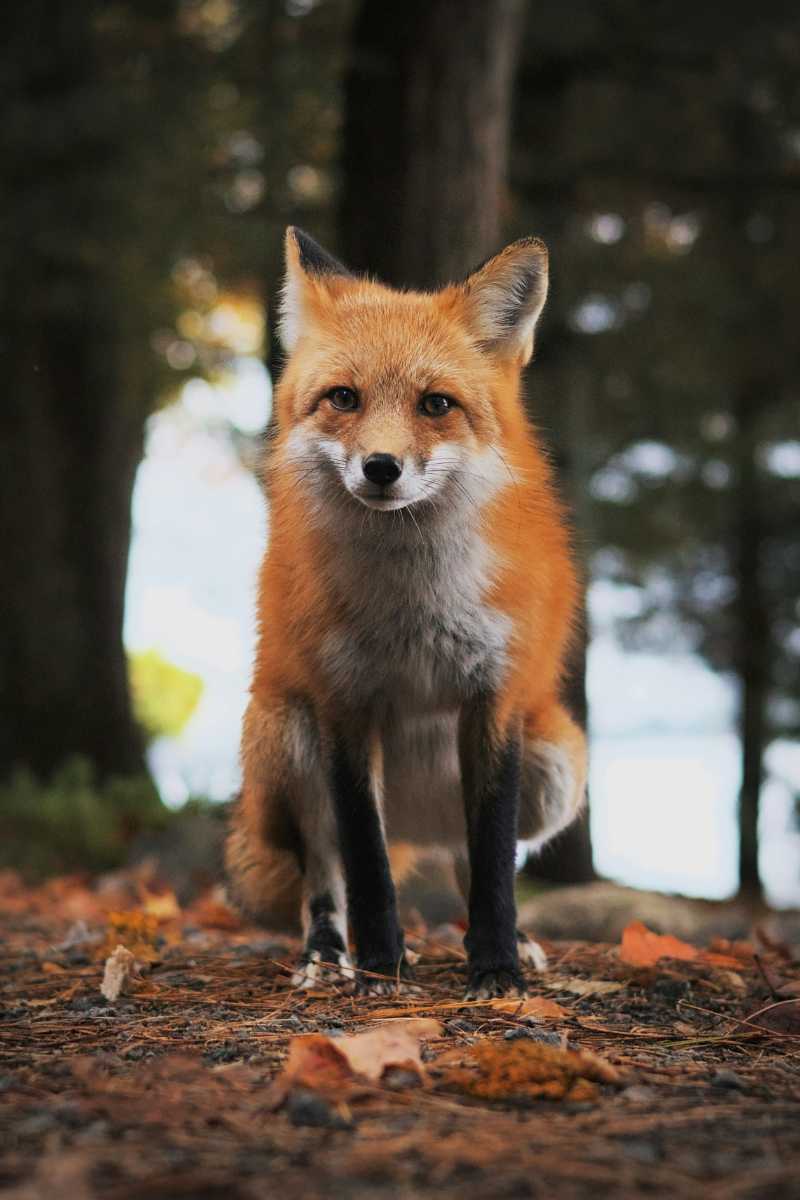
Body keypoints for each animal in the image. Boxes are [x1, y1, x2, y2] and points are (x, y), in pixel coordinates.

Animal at [225, 229, 587, 998]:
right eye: (343, 398)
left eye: (436, 404)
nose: (381, 467)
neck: (413, 608)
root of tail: (419, 822)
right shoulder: (343, 704)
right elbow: (365, 861)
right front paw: (380, 966)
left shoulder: (495, 698)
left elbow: (492, 860)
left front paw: (497, 967)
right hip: (286, 736)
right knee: (326, 868)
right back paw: (326, 952)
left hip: (556, 766)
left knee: (469, 855)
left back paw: (512, 940)